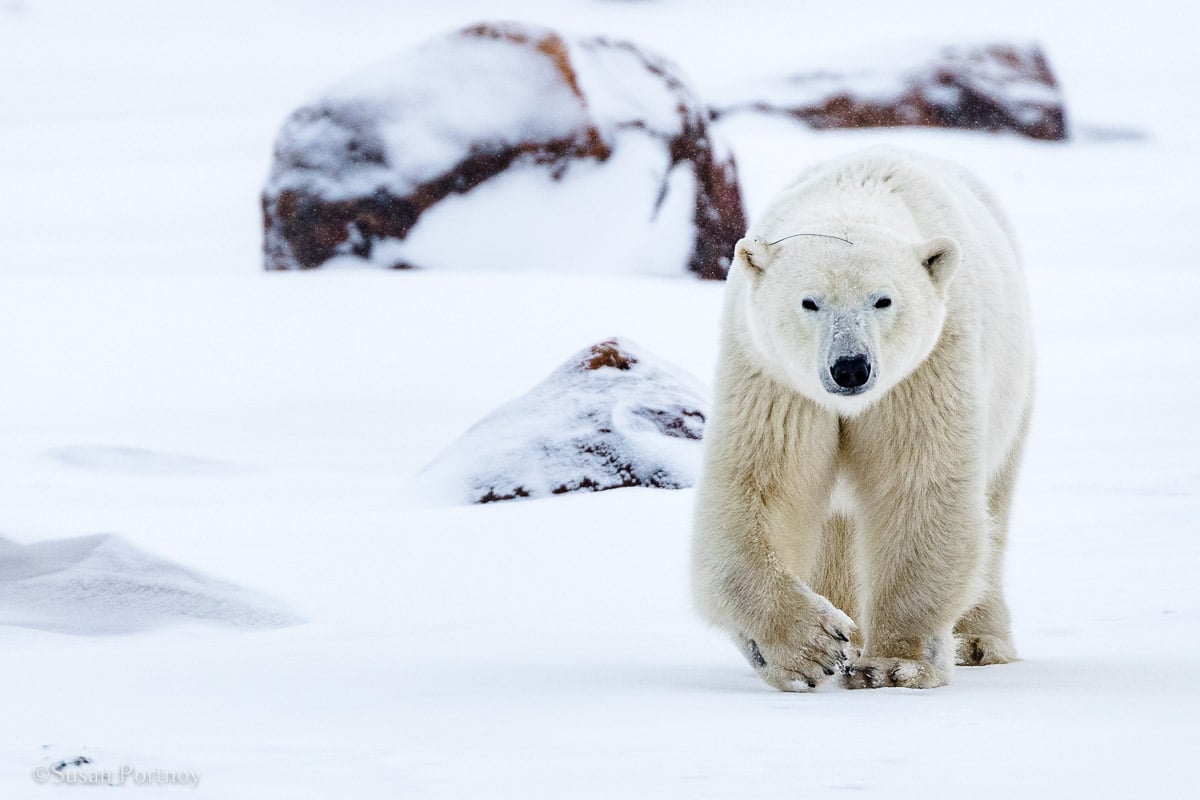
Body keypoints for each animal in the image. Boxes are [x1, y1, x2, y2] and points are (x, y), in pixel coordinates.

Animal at [691, 146, 1034, 691]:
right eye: (809, 301)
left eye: (883, 299)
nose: (850, 366)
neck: (854, 197)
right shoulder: (772, 374)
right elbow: (761, 483)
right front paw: (811, 647)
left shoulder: (927, 366)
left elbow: (916, 486)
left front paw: (894, 663)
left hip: (1011, 387)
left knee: (992, 510)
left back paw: (979, 641)